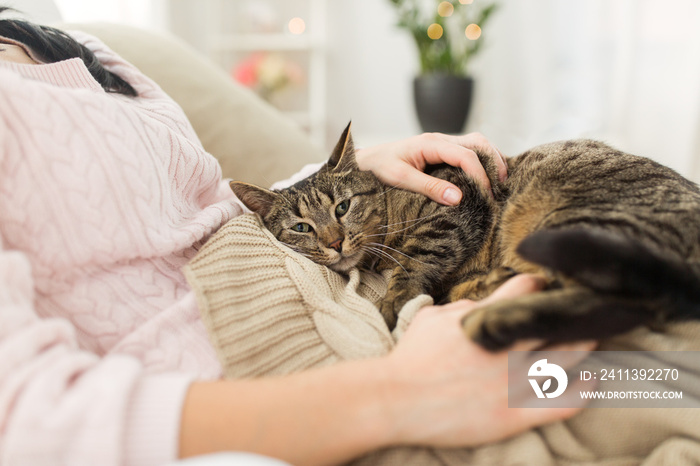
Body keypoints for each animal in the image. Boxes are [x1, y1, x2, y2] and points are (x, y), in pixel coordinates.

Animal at [232, 124, 700, 350]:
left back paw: (494, 318)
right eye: (301, 228)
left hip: (577, 223)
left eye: (342, 207)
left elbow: (413, 263)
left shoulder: (457, 201)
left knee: (626, 302)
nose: (333, 242)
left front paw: (394, 303)